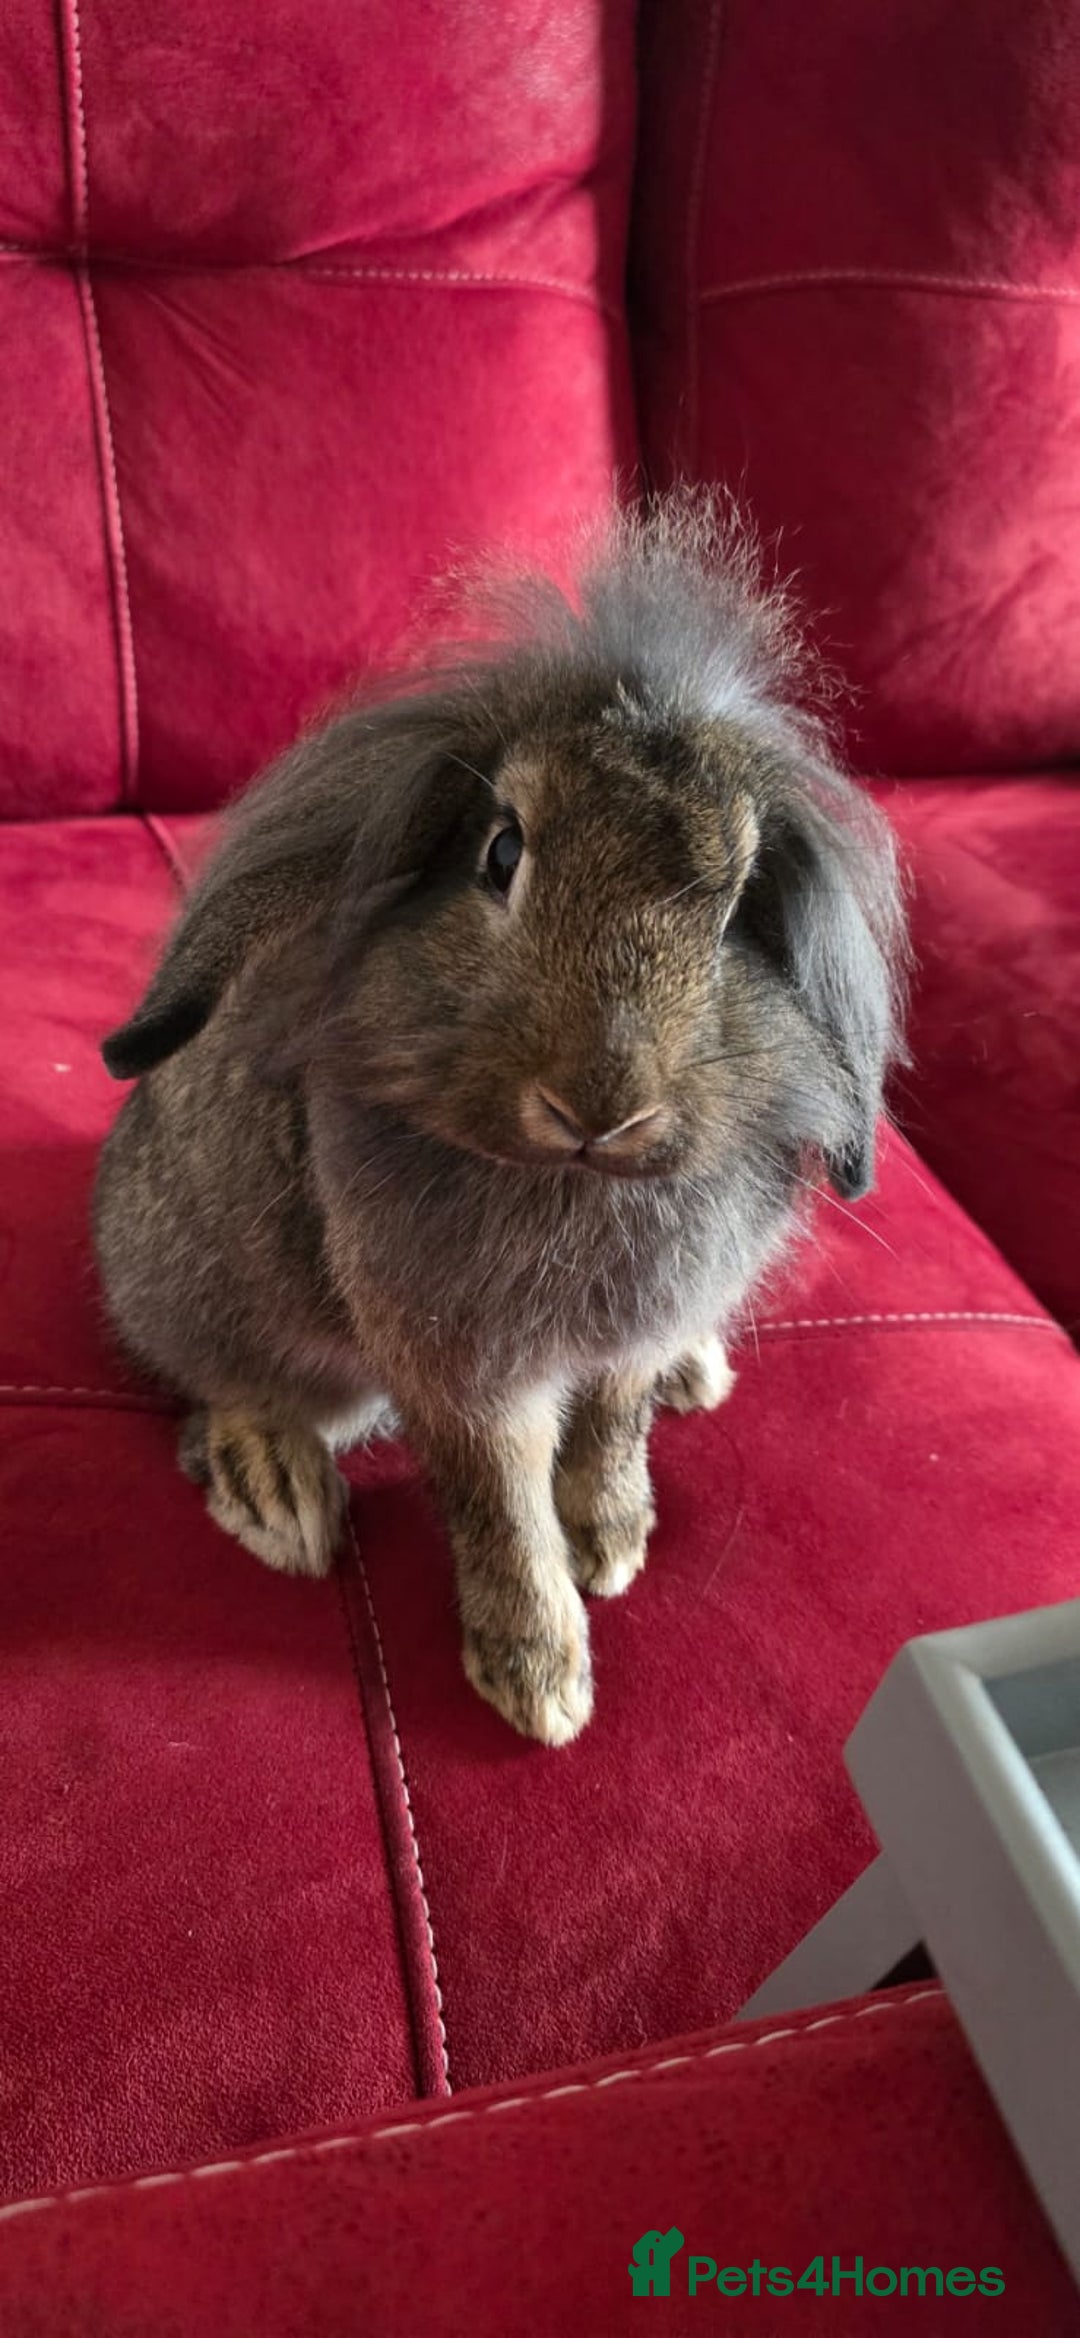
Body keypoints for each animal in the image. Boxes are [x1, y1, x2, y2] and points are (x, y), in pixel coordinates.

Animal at [94, 492, 905, 1746]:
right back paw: (275, 1487)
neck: (578, 1180)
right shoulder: (462, 1368)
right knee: (228, 1383)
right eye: (501, 851)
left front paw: (611, 1544)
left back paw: (696, 1375)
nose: (601, 1106)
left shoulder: (626, 1332)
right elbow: (499, 1506)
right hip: (207, 1285)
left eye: (738, 907)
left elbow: (611, 1425)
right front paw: (541, 1684)